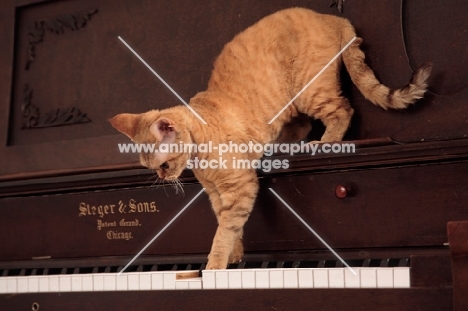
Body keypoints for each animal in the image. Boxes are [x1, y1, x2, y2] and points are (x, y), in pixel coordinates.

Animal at [109, 7, 432, 270]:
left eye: (163, 165)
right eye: (151, 168)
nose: (162, 178)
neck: (201, 156)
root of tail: (330, 16)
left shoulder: (240, 188)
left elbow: (223, 233)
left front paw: (214, 267)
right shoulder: (217, 195)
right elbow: (229, 227)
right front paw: (235, 256)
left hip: (311, 92)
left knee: (342, 110)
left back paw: (324, 143)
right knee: (302, 125)